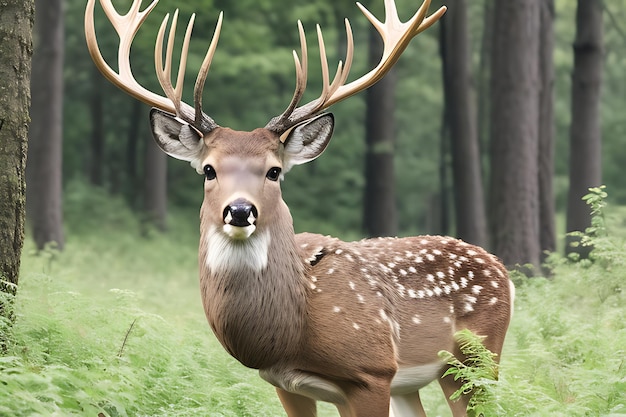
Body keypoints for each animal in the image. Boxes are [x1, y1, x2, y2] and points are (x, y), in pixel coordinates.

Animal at [84, 0, 512, 414]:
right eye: (209, 170)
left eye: (274, 171)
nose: (240, 211)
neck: (293, 332)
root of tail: (502, 269)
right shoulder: (286, 384)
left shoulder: (372, 371)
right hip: (414, 383)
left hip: (475, 359)